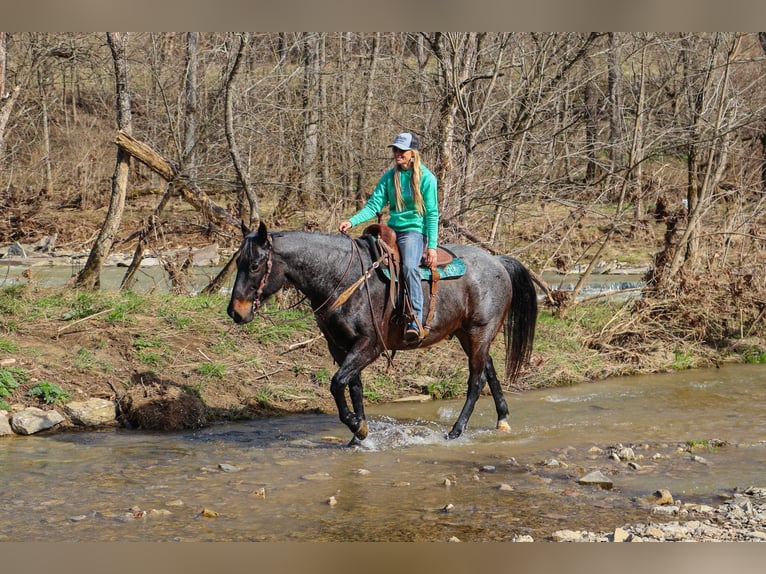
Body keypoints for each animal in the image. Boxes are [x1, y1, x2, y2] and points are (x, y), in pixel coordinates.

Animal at [228, 222, 540, 446]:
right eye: (238, 262)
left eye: (254, 265)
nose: (235, 312)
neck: (343, 277)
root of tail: (497, 261)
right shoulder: (340, 347)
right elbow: (353, 387)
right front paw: (359, 434)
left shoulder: (370, 346)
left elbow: (337, 383)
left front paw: (357, 427)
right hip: (468, 335)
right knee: (490, 370)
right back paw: (502, 419)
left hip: (479, 332)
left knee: (476, 381)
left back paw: (455, 431)